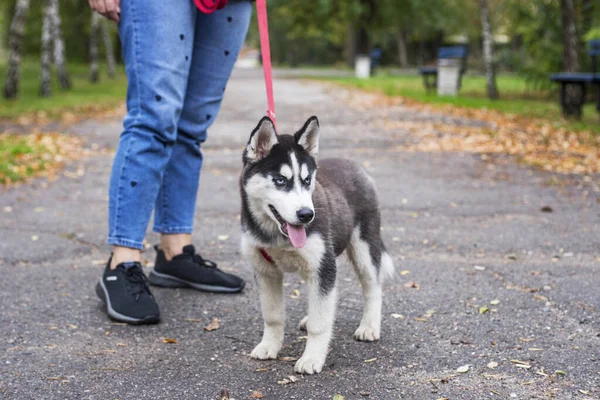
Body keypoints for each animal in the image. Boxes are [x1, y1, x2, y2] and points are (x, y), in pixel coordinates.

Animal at [239, 115, 394, 376]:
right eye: (280, 180)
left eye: (307, 180)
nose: (306, 215)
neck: (276, 235)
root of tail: (353, 164)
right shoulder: (265, 270)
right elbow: (272, 315)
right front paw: (269, 346)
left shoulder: (324, 267)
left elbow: (320, 324)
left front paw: (312, 358)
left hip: (363, 247)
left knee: (372, 286)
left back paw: (369, 326)